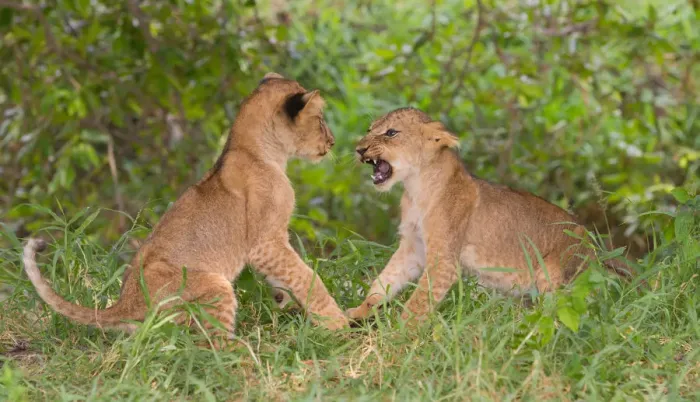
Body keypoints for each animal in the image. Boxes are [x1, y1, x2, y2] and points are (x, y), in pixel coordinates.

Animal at [23, 73, 349, 347]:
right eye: (320, 119)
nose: (333, 142)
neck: (252, 148)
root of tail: (125, 307)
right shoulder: (266, 242)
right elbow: (307, 277)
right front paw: (338, 324)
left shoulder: (270, 246)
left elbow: (289, 279)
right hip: (214, 285)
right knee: (212, 348)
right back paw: (260, 348)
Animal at [347, 107, 632, 322]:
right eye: (369, 130)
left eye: (391, 132)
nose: (359, 149)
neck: (415, 188)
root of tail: (595, 248)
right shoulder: (413, 247)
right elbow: (386, 278)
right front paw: (360, 311)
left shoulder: (444, 260)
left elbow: (418, 302)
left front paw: (399, 333)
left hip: (557, 276)